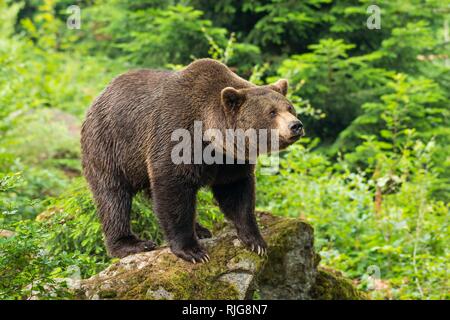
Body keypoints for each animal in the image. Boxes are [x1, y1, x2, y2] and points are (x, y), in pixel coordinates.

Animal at [82, 58, 304, 262]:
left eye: (289, 108)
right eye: (272, 112)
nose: (296, 125)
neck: (210, 138)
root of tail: (99, 97)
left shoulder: (231, 160)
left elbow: (237, 193)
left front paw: (256, 241)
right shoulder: (176, 136)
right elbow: (174, 189)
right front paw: (193, 251)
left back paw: (201, 229)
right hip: (111, 145)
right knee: (113, 196)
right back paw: (131, 243)